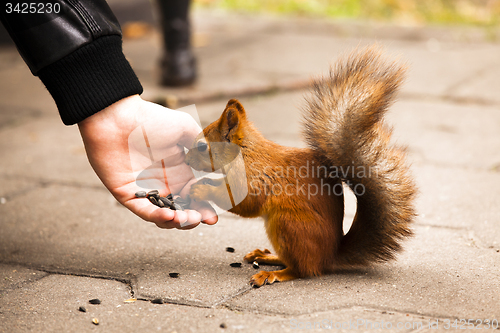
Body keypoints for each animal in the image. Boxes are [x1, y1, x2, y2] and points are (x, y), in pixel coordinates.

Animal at [186, 46, 416, 286]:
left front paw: (201, 189)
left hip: (288, 224)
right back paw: (266, 256)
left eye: (202, 146)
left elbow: (246, 202)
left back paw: (272, 273)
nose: (187, 160)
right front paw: (204, 182)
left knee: (302, 269)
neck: (246, 153)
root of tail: (329, 256)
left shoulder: (254, 178)